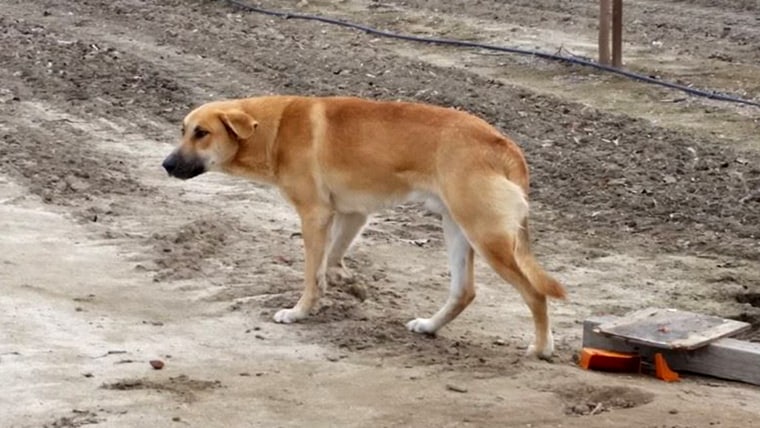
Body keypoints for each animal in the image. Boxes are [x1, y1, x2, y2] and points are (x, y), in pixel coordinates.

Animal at [162, 96, 564, 358]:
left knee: (534, 293)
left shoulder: (314, 215)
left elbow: (311, 274)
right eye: (183, 130)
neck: (275, 128)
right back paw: (429, 327)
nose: (166, 164)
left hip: (485, 237)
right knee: (464, 292)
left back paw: (542, 347)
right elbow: (330, 262)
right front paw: (348, 283)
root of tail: (505, 145)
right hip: (458, 230)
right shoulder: (351, 214)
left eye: (201, 133)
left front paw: (300, 311)